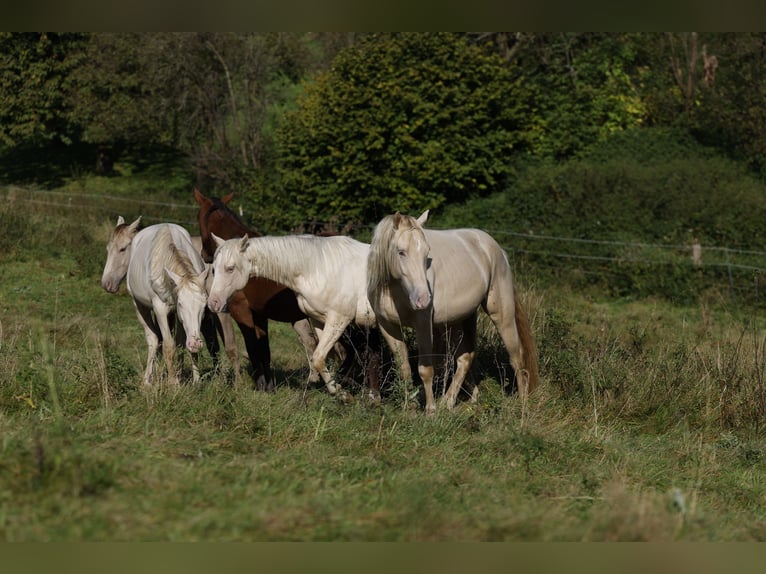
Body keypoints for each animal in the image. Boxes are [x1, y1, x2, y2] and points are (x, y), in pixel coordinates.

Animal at [101, 219, 219, 388]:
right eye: (181, 304)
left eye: (204, 307)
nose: (107, 283)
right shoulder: (161, 310)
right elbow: (168, 346)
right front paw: (173, 383)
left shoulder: (179, 315)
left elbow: (182, 344)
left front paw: (193, 381)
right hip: (140, 306)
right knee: (154, 339)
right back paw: (147, 380)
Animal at [207, 234, 388, 404]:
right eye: (214, 269)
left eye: (230, 269)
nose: (213, 303)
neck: (318, 267)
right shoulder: (319, 320)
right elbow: (321, 357)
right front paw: (338, 390)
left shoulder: (339, 319)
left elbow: (318, 357)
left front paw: (342, 394)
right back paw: (374, 397)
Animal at [368, 210, 540, 414]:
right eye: (401, 252)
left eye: (426, 253)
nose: (423, 299)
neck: (394, 290)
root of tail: (496, 249)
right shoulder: (388, 327)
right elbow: (404, 369)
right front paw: (409, 407)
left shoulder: (423, 325)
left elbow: (425, 369)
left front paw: (430, 410)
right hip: (458, 319)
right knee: (465, 358)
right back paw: (453, 401)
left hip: (501, 313)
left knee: (516, 356)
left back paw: (522, 403)